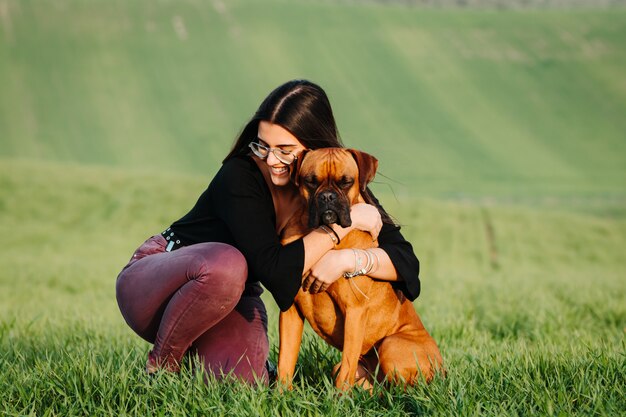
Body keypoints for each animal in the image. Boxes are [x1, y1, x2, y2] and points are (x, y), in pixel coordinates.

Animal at [276, 148, 442, 388]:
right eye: (311, 181)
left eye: (346, 182)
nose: (328, 196)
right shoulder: (290, 310)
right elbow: (285, 363)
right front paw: (281, 394)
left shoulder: (354, 312)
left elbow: (347, 365)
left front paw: (339, 397)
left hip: (391, 345)